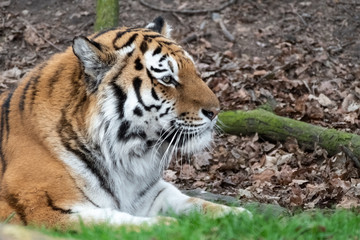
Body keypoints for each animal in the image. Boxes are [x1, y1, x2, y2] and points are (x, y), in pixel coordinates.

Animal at [0, 16, 249, 227]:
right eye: (167, 79)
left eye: (195, 72)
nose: (216, 111)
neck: (126, 159)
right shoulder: (48, 209)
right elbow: (121, 223)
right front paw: (168, 226)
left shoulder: (150, 194)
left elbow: (189, 201)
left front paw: (238, 216)